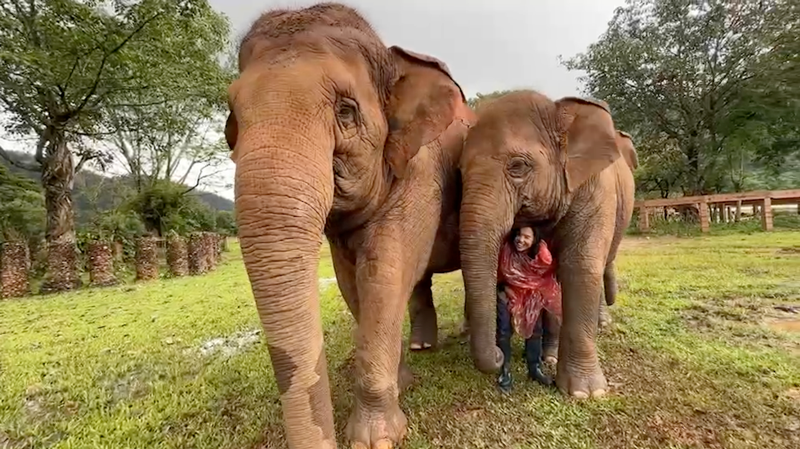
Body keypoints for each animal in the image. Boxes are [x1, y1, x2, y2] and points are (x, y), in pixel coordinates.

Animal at [222, 3, 478, 448]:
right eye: (233, 115)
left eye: (345, 111)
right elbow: (350, 278)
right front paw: (403, 384)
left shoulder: (422, 169)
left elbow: (384, 269)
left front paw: (376, 438)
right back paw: (420, 347)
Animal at [456, 89, 636, 398]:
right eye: (459, 172)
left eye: (517, 166)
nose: (498, 355)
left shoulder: (595, 188)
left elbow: (579, 266)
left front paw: (585, 394)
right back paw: (549, 354)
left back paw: (597, 327)